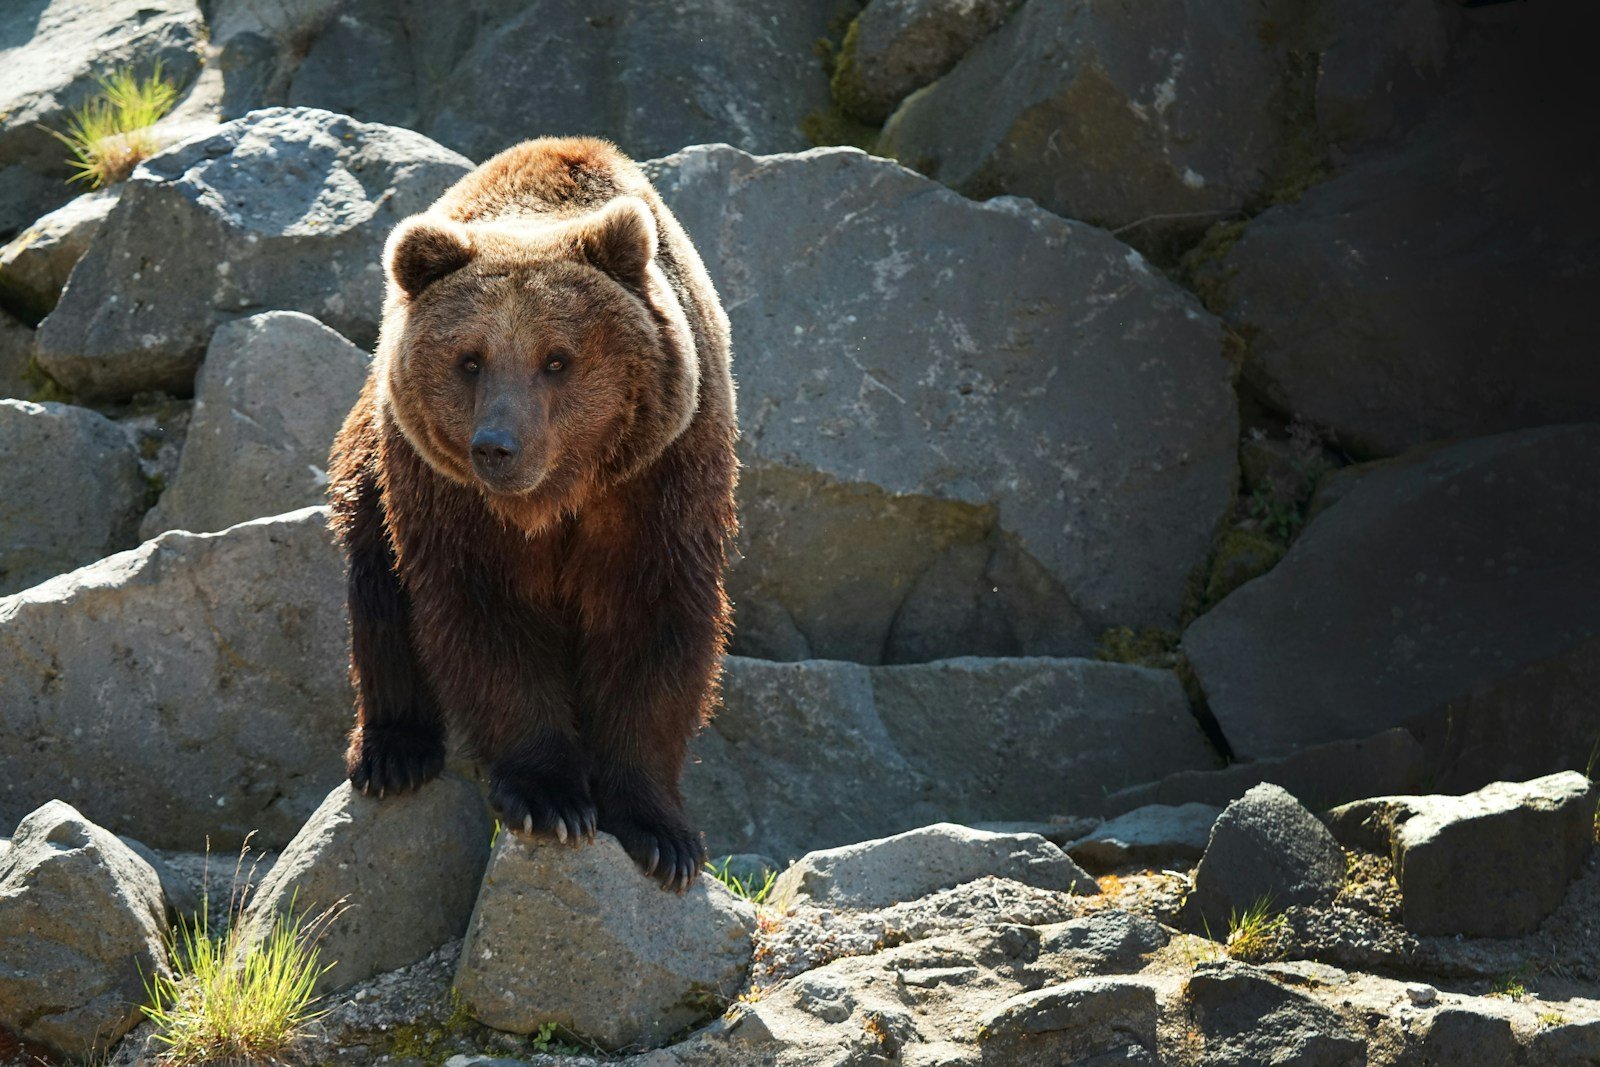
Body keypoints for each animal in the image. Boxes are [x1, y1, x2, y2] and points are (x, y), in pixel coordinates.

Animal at [327, 137, 736, 892]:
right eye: (470, 359)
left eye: (557, 359)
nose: (497, 445)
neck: (555, 498)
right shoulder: (453, 504)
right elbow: (486, 622)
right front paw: (552, 797)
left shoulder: (661, 484)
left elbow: (656, 627)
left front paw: (662, 835)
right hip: (375, 459)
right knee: (377, 584)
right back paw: (394, 750)